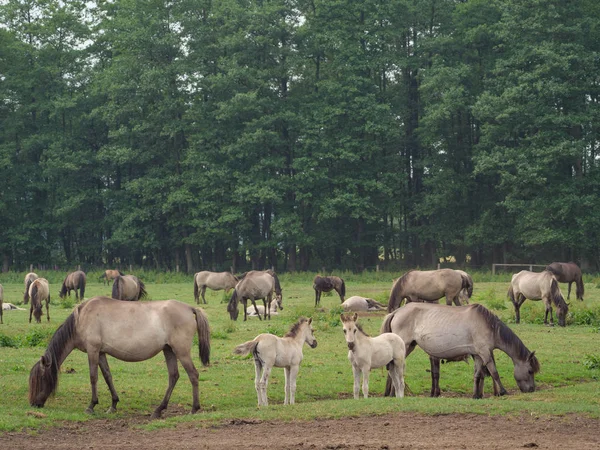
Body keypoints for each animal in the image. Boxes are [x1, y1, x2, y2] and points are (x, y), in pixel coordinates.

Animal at [28, 296, 211, 418]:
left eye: (41, 379)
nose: (34, 404)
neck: (82, 318)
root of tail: (190, 308)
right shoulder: (101, 353)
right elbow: (107, 376)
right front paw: (113, 405)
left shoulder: (93, 350)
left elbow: (93, 377)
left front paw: (91, 406)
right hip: (169, 350)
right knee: (174, 376)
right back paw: (159, 410)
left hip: (181, 351)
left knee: (193, 375)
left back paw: (194, 409)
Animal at [382, 302, 540, 398]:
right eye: (530, 371)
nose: (532, 389)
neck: (489, 326)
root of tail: (396, 312)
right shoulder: (485, 353)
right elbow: (494, 372)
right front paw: (502, 391)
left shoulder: (478, 355)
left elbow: (478, 374)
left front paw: (476, 395)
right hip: (405, 346)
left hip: (408, 347)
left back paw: (391, 393)